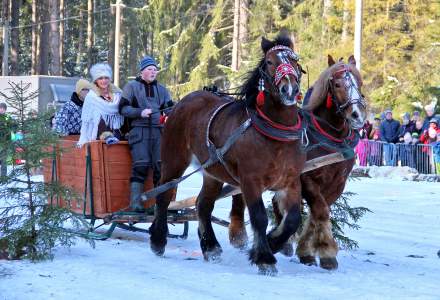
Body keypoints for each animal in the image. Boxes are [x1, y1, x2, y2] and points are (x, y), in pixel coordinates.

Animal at [150, 35, 308, 274]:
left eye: (295, 59)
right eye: (269, 62)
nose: (289, 88)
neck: (274, 133)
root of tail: (183, 101)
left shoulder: (290, 182)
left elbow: (292, 220)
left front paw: (272, 243)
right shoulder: (250, 181)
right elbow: (259, 217)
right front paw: (265, 258)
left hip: (212, 172)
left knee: (203, 204)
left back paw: (210, 247)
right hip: (174, 160)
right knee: (164, 196)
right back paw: (158, 241)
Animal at [229, 54, 366, 270]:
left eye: (359, 83)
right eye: (337, 84)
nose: (357, 115)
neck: (329, 137)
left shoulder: (337, 183)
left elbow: (317, 214)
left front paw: (310, 250)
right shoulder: (307, 179)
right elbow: (320, 211)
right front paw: (324, 251)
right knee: (238, 195)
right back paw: (238, 234)